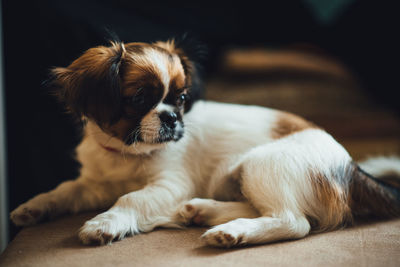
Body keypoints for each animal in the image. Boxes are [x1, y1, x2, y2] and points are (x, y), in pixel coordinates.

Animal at [10, 37, 400, 247]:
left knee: (294, 221)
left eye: (181, 98)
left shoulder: (170, 184)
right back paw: (202, 212)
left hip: (262, 165)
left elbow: (130, 198)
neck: (125, 153)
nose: (171, 118)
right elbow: (64, 190)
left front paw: (104, 224)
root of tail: (349, 165)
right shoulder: (94, 183)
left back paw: (230, 231)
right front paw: (34, 207)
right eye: (140, 98)